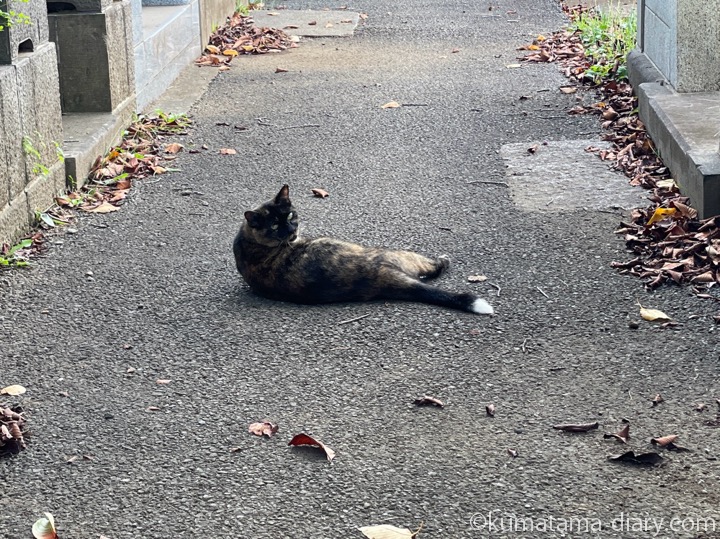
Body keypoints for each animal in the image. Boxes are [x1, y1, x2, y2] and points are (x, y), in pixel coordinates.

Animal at [233, 185, 492, 314]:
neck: (248, 242)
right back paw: (442, 260)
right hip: (401, 254)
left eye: (289, 216)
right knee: (433, 268)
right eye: (275, 226)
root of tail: (382, 277)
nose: (291, 230)